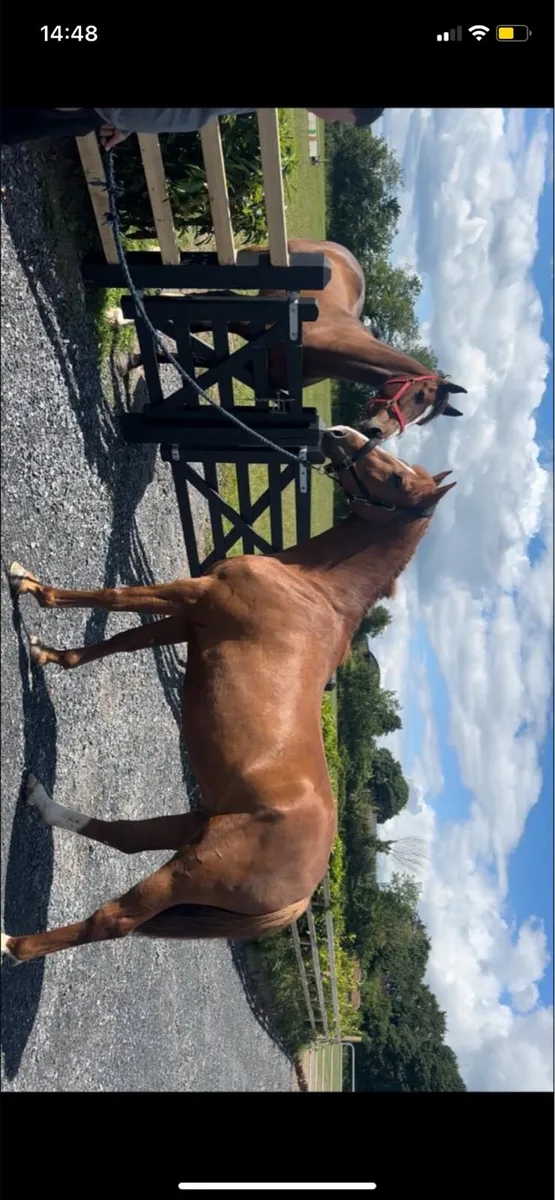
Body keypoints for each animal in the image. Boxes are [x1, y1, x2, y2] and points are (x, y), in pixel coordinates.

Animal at [1, 431, 455, 964]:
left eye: (399, 479)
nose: (339, 435)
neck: (312, 586)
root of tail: (301, 898)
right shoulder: (187, 622)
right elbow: (119, 641)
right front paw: (48, 654)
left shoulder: (191, 596)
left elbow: (114, 598)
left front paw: (26, 584)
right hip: (196, 827)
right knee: (126, 838)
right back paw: (39, 799)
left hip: (192, 867)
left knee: (113, 920)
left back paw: (11, 942)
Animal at [125, 238, 467, 444]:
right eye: (419, 395)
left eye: (421, 420)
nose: (377, 433)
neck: (328, 341)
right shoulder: (245, 325)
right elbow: (200, 325)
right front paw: (128, 353)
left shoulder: (260, 369)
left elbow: (202, 362)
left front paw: (135, 362)